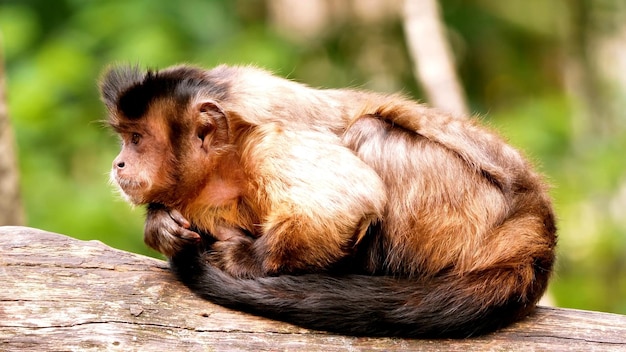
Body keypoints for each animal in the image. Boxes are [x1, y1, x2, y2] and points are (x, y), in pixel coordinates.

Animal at [98, 64, 556, 338]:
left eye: (136, 140)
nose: (118, 163)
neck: (227, 161)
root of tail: (536, 228)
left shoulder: (266, 142)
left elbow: (349, 198)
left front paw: (244, 259)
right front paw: (160, 224)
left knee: (373, 132)